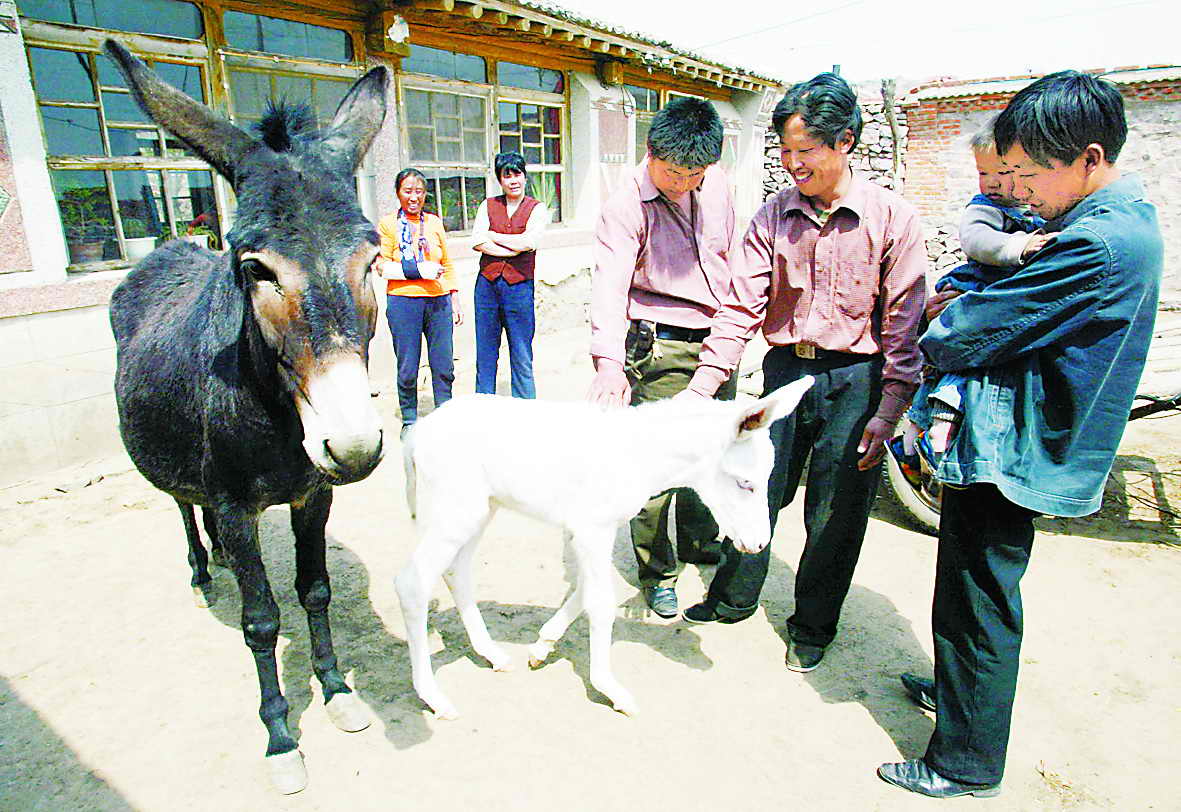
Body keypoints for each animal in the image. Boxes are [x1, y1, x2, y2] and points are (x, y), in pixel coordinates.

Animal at [396, 377, 812, 722]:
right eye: (745, 483)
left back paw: (491, 654)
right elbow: (599, 602)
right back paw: (434, 696)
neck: (641, 457)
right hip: (457, 508)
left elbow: (584, 589)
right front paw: (611, 689)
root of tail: (418, 433)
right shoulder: (593, 527)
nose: (758, 543)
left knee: (456, 571)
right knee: (413, 583)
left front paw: (542, 646)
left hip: (481, 507)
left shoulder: (588, 529)